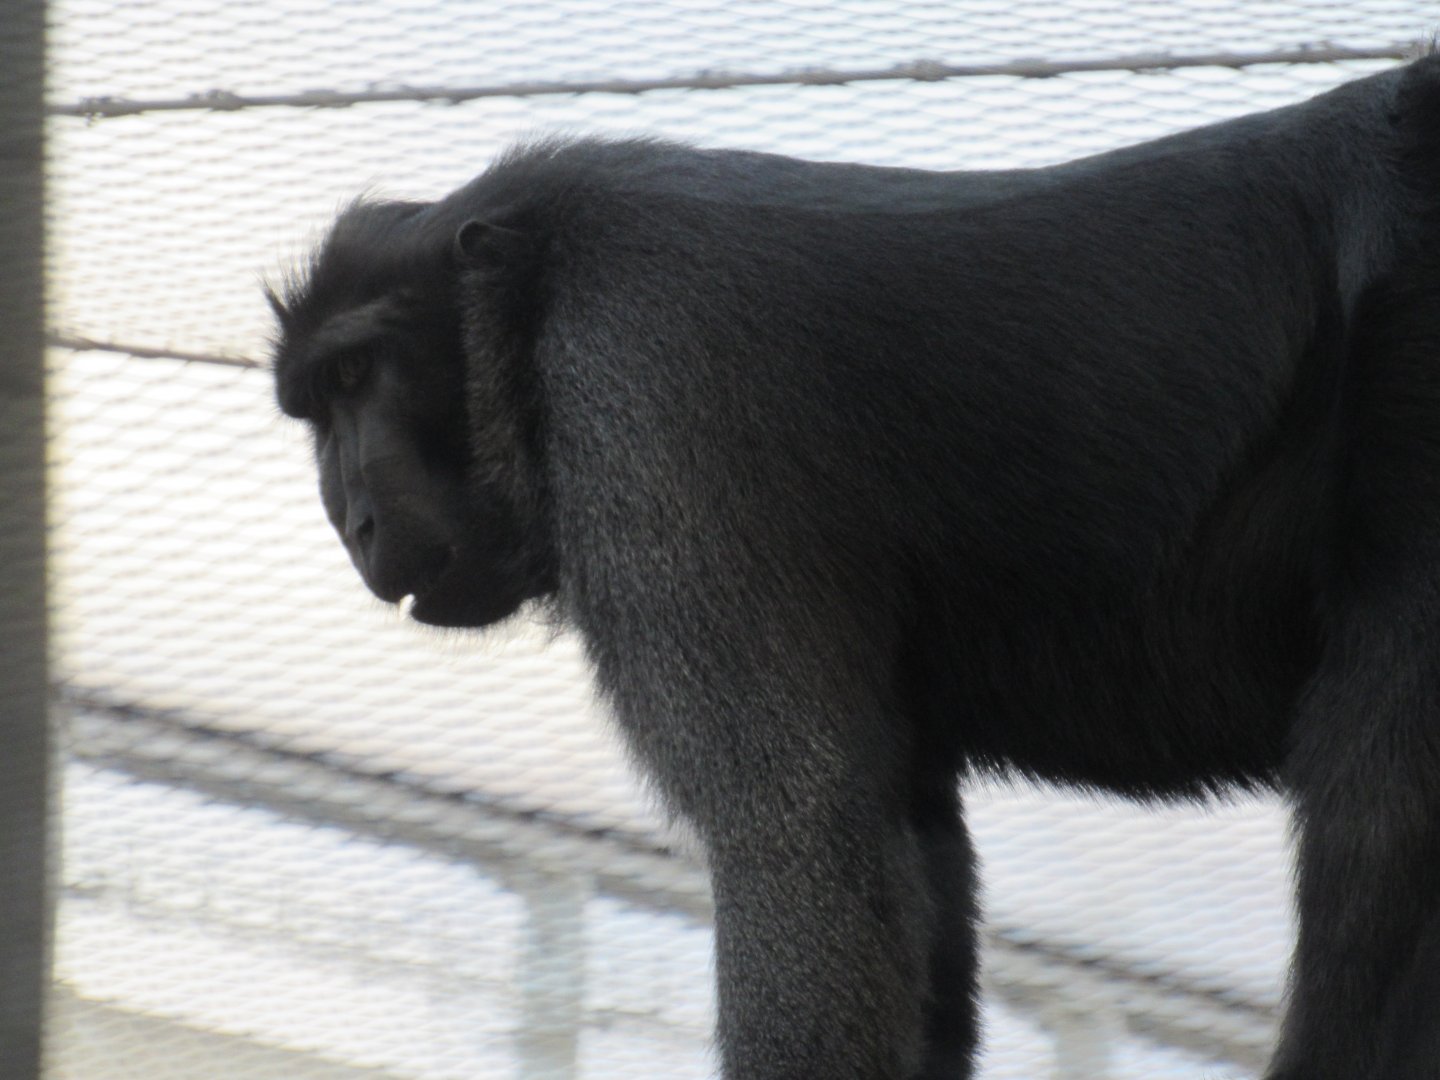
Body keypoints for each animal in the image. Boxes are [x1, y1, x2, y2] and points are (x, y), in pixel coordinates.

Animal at [270, 55, 1440, 1080]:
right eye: (319, 406)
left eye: (359, 374)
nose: (352, 517)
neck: (540, 279)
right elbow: (906, 849)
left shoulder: (642, 377)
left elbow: (803, 834)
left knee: (1382, 789)